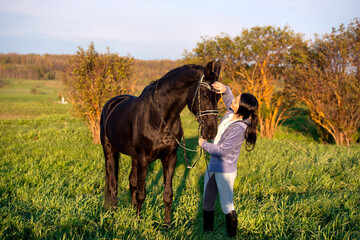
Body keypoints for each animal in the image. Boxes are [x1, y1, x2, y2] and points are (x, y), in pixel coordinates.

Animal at [100, 61, 221, 224]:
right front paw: (137, 222)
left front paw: (167, 224)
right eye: (204, 95)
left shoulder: (169, 158)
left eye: (219, 96)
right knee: (113, 184)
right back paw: (113, 213)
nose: (211, 131)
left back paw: (131, 208)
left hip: (133, 157)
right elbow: (141, 193)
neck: (159, 117)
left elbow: (167, 194)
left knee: (132, 182)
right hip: (109, 150)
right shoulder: (143, 158)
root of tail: (112, 103)